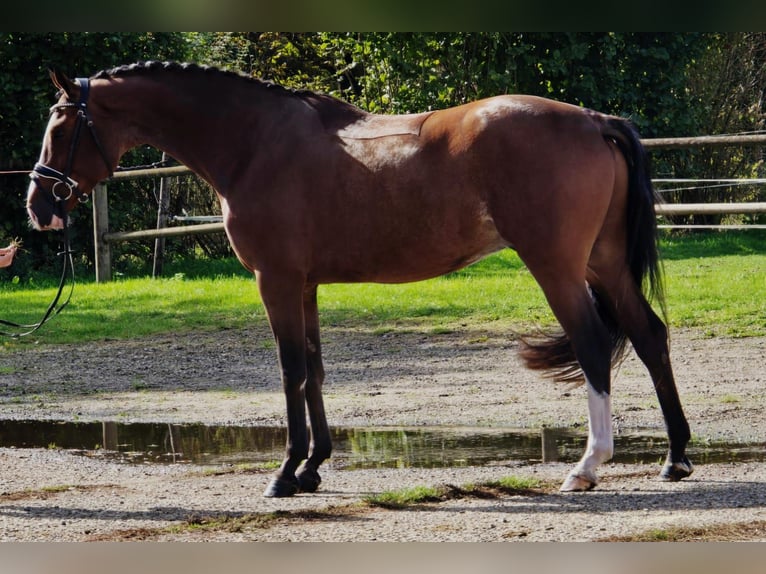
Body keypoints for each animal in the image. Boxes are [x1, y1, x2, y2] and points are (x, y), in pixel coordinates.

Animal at [25, 61, 693, 497]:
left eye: (60, 127)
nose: (38, 206)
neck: (254, 142)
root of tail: (592, 119)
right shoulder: (305, 284)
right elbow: (316, 369)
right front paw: (313, 467)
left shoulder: (275, 279)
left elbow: (291, 370)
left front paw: (284, 474)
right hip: (603, 263)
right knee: (650, 336)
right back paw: (676, 457)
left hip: (557, 267)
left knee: (593, 346)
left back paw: (588, 466)